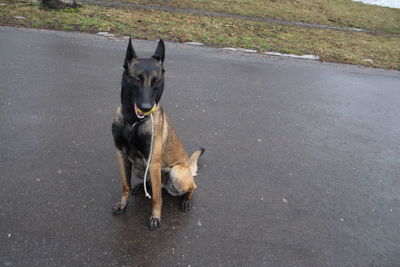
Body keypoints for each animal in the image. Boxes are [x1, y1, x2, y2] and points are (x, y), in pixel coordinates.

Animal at [111, 38, 205, 231]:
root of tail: (188, 165)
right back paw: (141, 187)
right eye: (137, 80)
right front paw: (123, 204)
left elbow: (156, 198)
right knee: (157, 186)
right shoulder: (121, 155)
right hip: (140, 169)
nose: (147, 107)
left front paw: (155, 217)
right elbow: (125, 185)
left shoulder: (153, 163)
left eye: (157, 81)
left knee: (191, 187)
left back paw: (186, 201)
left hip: (176, 173)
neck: (133, 122)